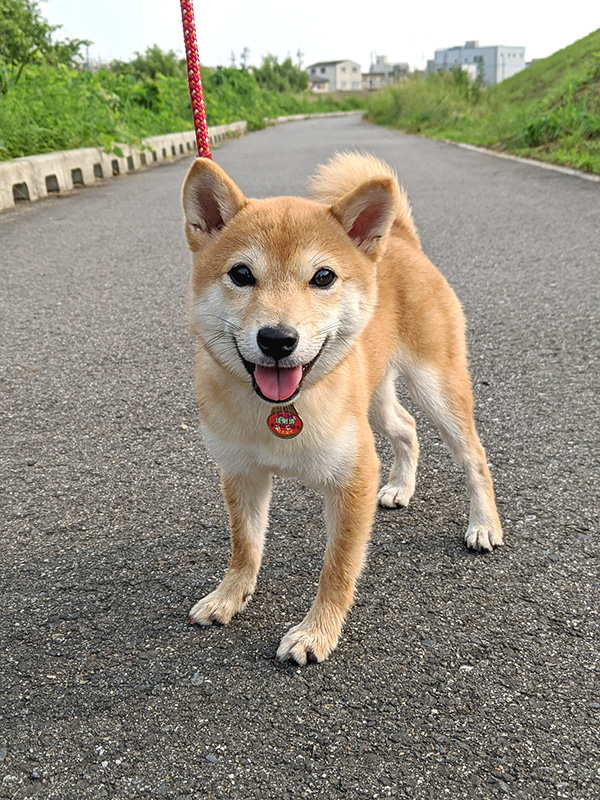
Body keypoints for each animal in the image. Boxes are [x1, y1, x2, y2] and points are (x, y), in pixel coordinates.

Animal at [182, 150, 502, 664]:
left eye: (323, 277)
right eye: (241, 274)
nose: (277, 339)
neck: (281, 411)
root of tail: (400, 241)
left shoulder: (354, 476)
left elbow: (337, 567)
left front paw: (317, 632)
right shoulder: (241, 472)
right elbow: (245, 546)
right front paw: (229, 596)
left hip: (437, 386)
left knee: (473, 455)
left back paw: (484, 525)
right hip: (374, 400)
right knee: (407, 428)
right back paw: (401, 487)